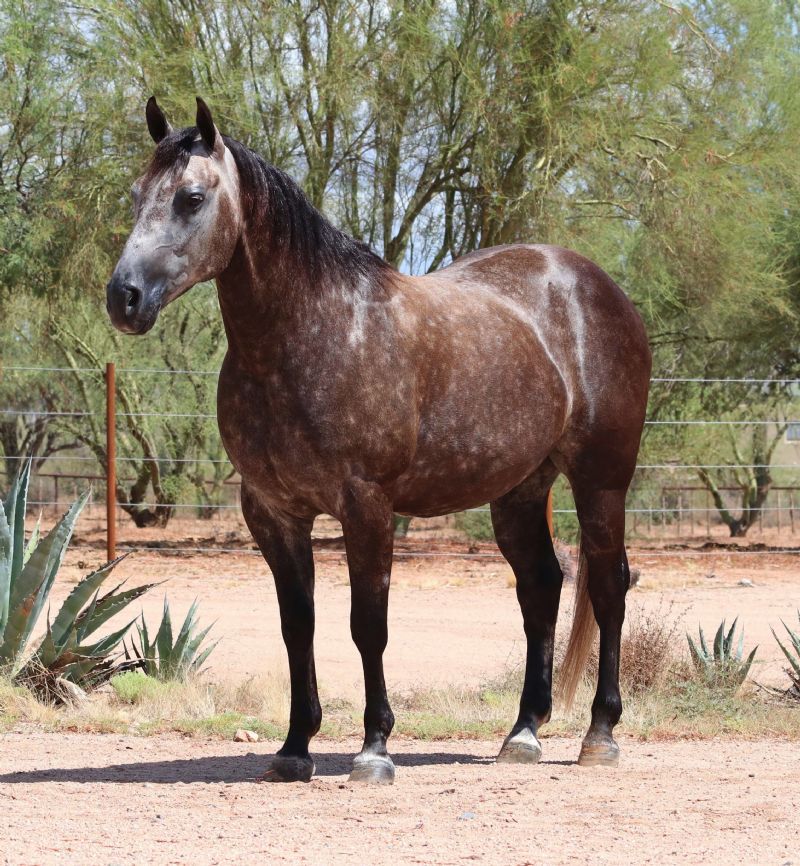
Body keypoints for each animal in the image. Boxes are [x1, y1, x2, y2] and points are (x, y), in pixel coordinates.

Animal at [107, 97, 651, 784]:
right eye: (135, 195)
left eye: (192, 198)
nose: (123, 298)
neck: (314, 333)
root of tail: (595, 286)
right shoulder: (273, 513)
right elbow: (298, 626)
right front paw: (294, 748)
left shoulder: (366, 507)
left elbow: (368, 626)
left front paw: (374, 749)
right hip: (520, 490)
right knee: (541, 588)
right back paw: (523, 733)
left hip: (602, 480)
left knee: (607, 586)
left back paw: (600, 734)